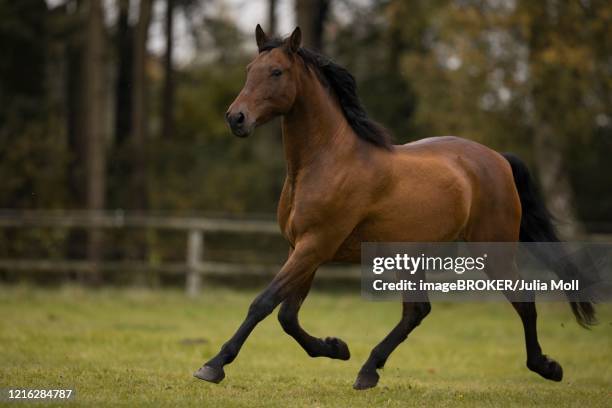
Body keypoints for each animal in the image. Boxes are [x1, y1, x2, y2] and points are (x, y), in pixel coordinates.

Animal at [194, 24, 596, 388]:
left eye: (276, 72)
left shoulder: (315, 245)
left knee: (523, 301)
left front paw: (213, 365)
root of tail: (497, 159)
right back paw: (368, 370)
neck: (326, 161)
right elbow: (288, 317)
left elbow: (263, 304)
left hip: (492, 250)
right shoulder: (302, 248)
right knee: (416, 311)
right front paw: (336, 347)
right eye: (249, 69)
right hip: (411, 255)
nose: (236, 118)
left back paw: (547, 367)